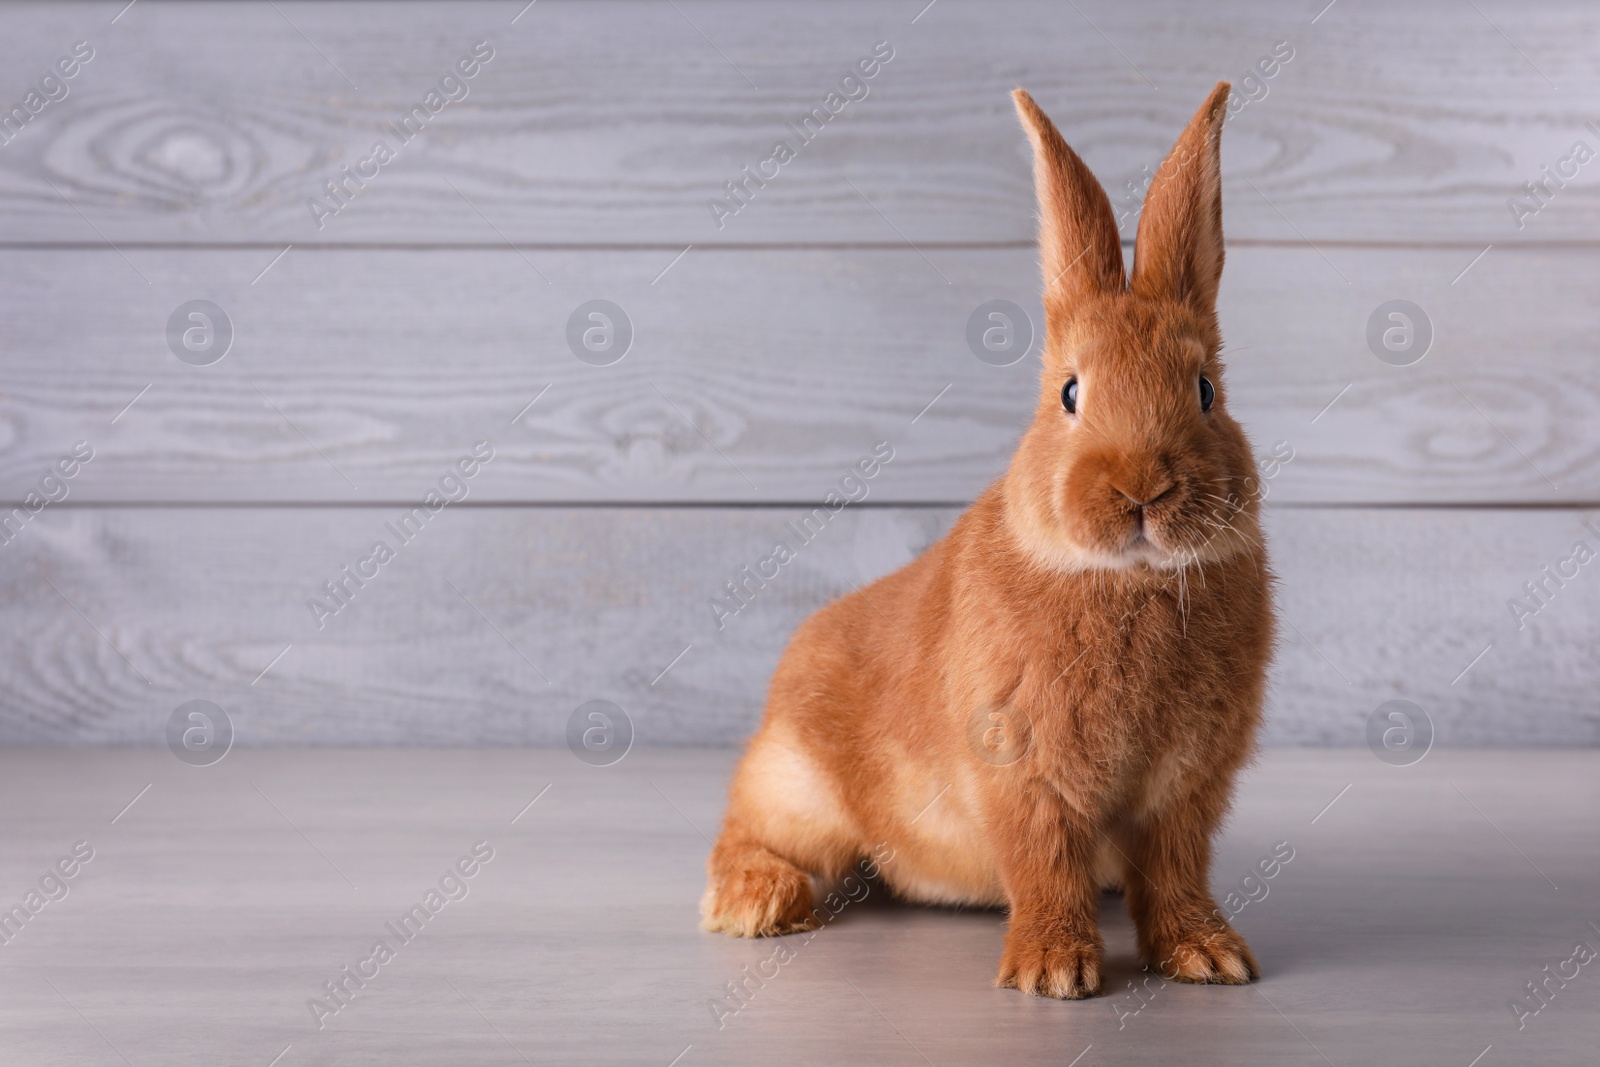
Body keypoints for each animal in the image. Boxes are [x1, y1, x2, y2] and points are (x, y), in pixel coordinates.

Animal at [700, 83, 1273, 1004]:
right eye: (1069, 392)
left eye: (1207, 390)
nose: (1141, 489)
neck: (1127, 577)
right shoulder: (1021, 769)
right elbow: (1044, 862)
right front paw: (1052, 971)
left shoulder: (1186, 788)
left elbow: (1175, 872)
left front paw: (1209, 956)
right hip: (796, 785)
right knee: (748, 829)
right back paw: (757, 902)